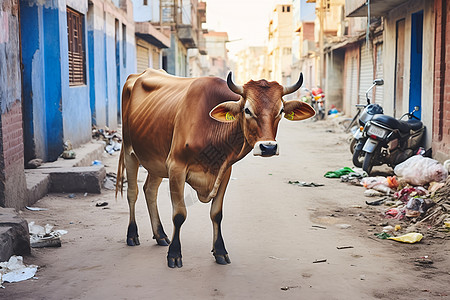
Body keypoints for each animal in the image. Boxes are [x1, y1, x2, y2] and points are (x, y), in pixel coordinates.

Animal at [116, 69, 312, 268]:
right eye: (247, 110)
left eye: (280, 110)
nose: (268, 147)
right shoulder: (176, 166)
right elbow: (179, 214)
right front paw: (174, 254)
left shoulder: (225, 171)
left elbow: (216, 214)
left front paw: (219, 251)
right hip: (130, 151)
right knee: (132, 193)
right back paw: (132, 234)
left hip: (155, 159)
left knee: (150, 190)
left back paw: (160, 235)